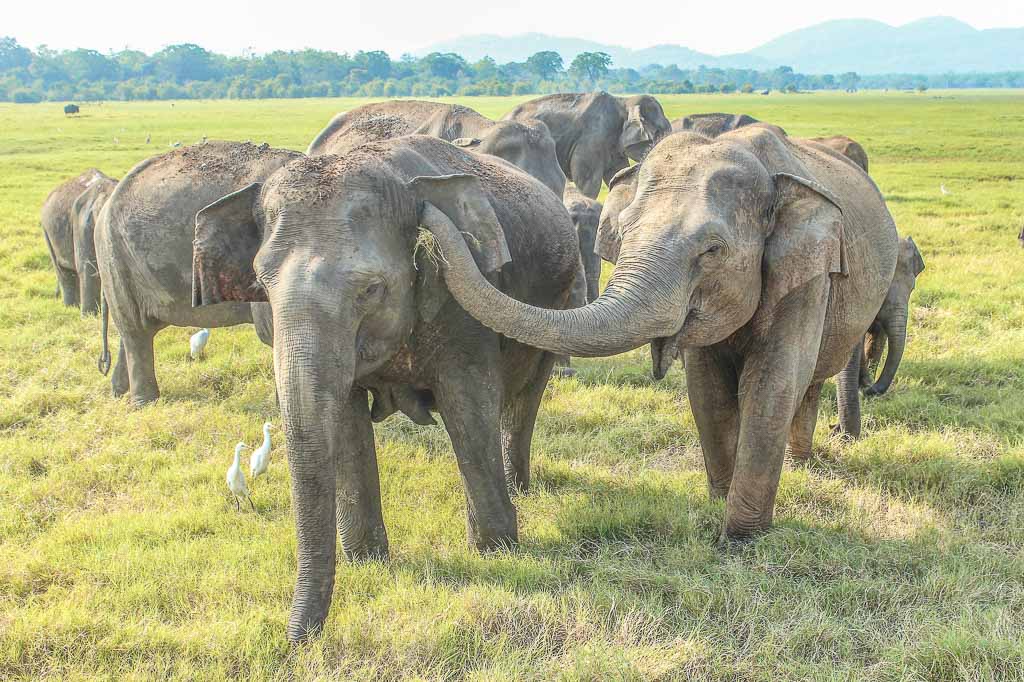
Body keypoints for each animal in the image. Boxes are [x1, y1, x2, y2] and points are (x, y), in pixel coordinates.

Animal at [41, 169, 116, 313]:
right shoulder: (81, 224)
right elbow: (86, 267)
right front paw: (90, 315)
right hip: (46, 230)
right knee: (63, 272)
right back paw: (71, 308)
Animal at [95, 141, 301, 405]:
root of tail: (107, 202)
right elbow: (271, 330)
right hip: (115, 257)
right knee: (134, 329)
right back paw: (144, 403)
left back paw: (119, 394)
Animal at [191, 134, 584, 642]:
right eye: (261, 284)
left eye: (370, 290)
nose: (295, 641)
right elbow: (345, 420)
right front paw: (367, 560)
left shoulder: (460, 310)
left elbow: (467, 404)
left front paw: (498, 551)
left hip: (557, 301)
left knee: (523, 399)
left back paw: (521, 488)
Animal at [419, 123, 898, 539]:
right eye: (624, 230)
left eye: (713, 250)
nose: (426, 213)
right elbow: (706, 389)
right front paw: (717, 501)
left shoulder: (805, 272)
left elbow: (772, 382)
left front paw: (740, 537)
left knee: (811, 377)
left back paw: (802, 461)